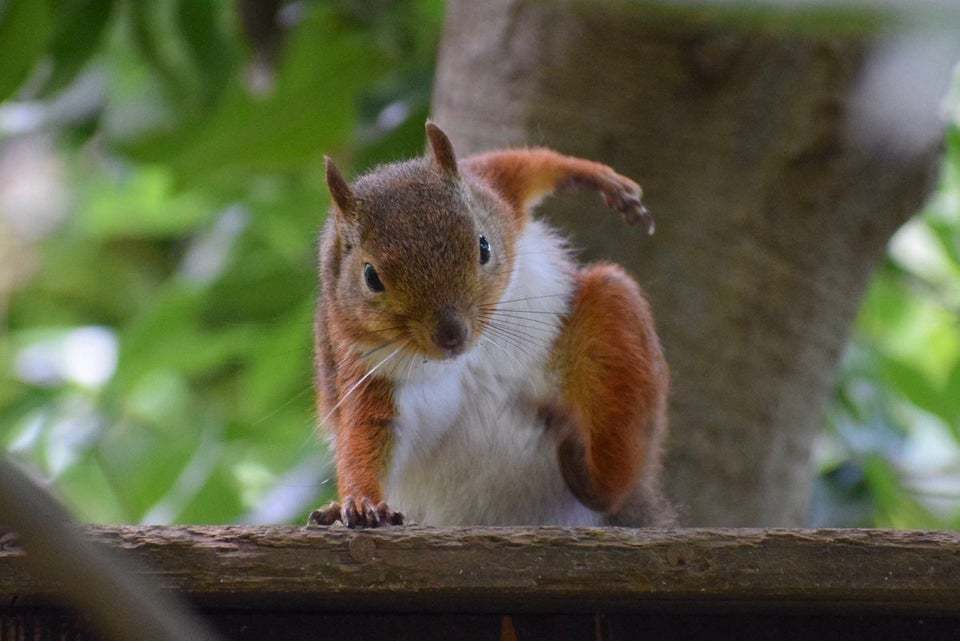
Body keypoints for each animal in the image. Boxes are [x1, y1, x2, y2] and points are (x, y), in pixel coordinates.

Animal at [312, 122, 672, 528]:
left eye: (483, 246)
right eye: (371, 277)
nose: (451, 335)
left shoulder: (492, 191)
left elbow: (522, 165)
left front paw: (599, 177)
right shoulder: (366, 369)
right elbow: (367, 433)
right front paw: (361, 502)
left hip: (613, 323)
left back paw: (592, 472)